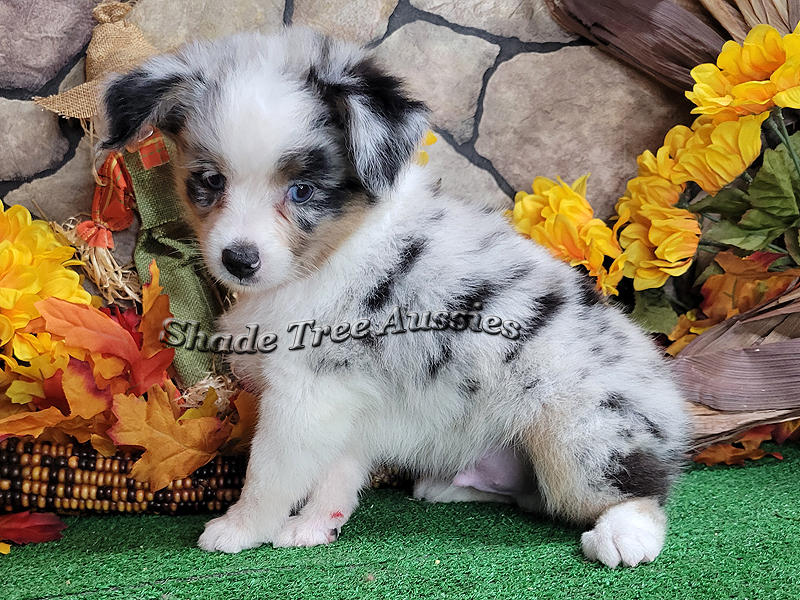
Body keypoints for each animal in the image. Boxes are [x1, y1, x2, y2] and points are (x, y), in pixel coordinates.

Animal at [100, 24, 688, 568]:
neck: (328, 257)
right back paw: (444, 487)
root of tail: (668, 394)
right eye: (210, 180)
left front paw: (243, 528)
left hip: (581, 436)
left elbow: (271, 472)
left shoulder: (306, 393)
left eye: (303, 191)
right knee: (530, 496)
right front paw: (316, 525)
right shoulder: (348, 401)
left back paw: (625, 535)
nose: (238, 261)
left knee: (638, 491)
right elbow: (336, 471)